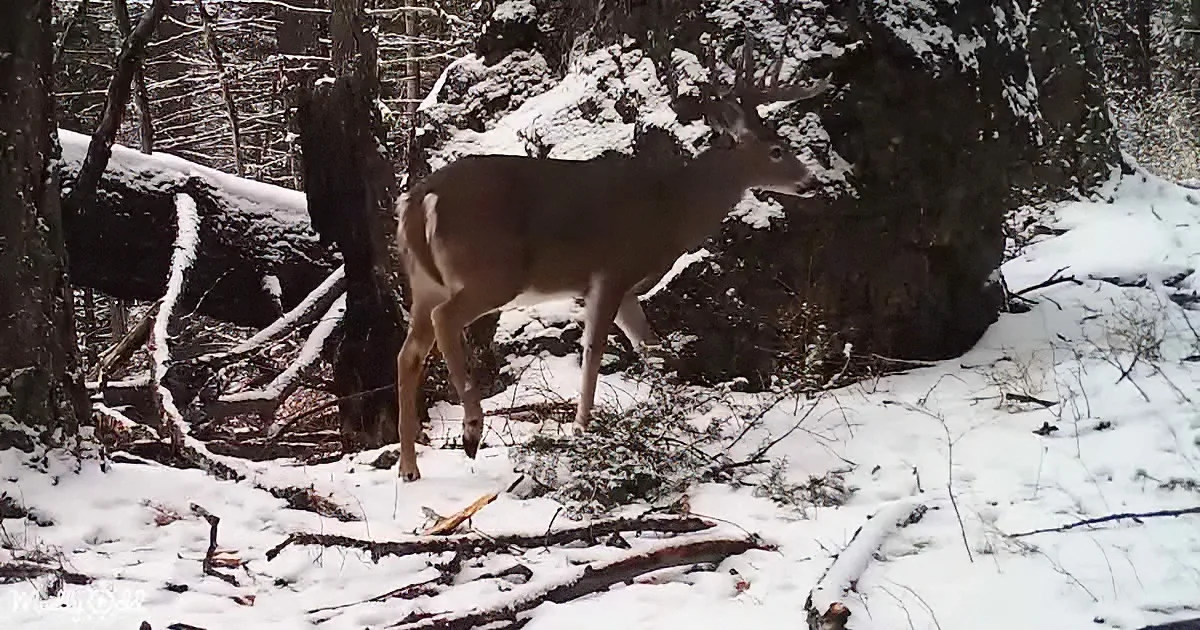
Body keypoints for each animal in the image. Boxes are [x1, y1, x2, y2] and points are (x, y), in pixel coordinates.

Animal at [391, 34, 832, 481]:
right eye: (777, 149)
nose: (811, 181)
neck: (672, 209)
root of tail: (419, 199)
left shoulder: (627, 290)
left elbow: (653, 349)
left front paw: (673, 414)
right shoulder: (611, 271)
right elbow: (594, 350)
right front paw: (582, 429)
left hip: (425, 282)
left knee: (408, 352)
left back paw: (409, 467)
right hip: (492, 272)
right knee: (444, 320)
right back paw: (471, 429)